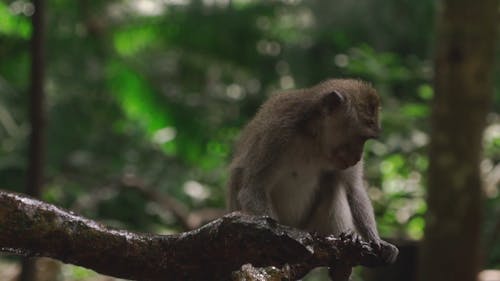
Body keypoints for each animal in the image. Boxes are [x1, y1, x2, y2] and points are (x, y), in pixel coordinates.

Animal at [228, 78, 398, 276]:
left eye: (366, 139)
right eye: (361, 136)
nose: (358, 158)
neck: (313, 139)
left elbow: (354, 189)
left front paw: (376, 240)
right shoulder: (276, 133)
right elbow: (253, 188)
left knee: (333, 182)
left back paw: (343, 258)